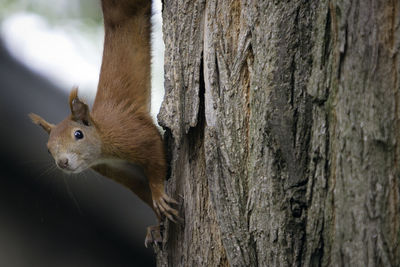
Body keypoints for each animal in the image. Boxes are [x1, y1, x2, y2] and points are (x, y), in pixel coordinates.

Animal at [29, 0, 181, 248]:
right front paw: (156, 226)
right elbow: (143, 189)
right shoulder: (119, 171)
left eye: (78, 134)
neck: (104, 149)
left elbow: (157, 162)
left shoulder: (133, 133)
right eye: (48, 149)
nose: (62, 162)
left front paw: (160, 195)